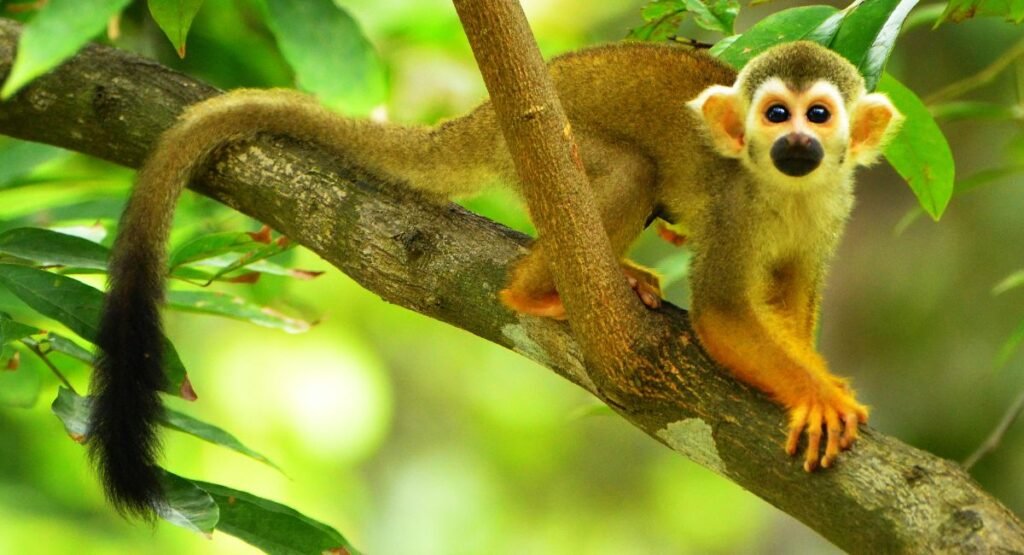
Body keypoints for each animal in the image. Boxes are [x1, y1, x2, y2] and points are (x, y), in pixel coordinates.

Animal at [89, 40, 901, 517]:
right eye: (775, 114)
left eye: (818, 116)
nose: (796, 144)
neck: (786, 190)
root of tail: (485, 115)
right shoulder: (735, 205)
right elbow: (723, 316)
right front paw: (819, 393)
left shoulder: (833, 205)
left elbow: (786, 303)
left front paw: (813, 376)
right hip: (546, 151)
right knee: (629, 170)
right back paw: (536, 291)